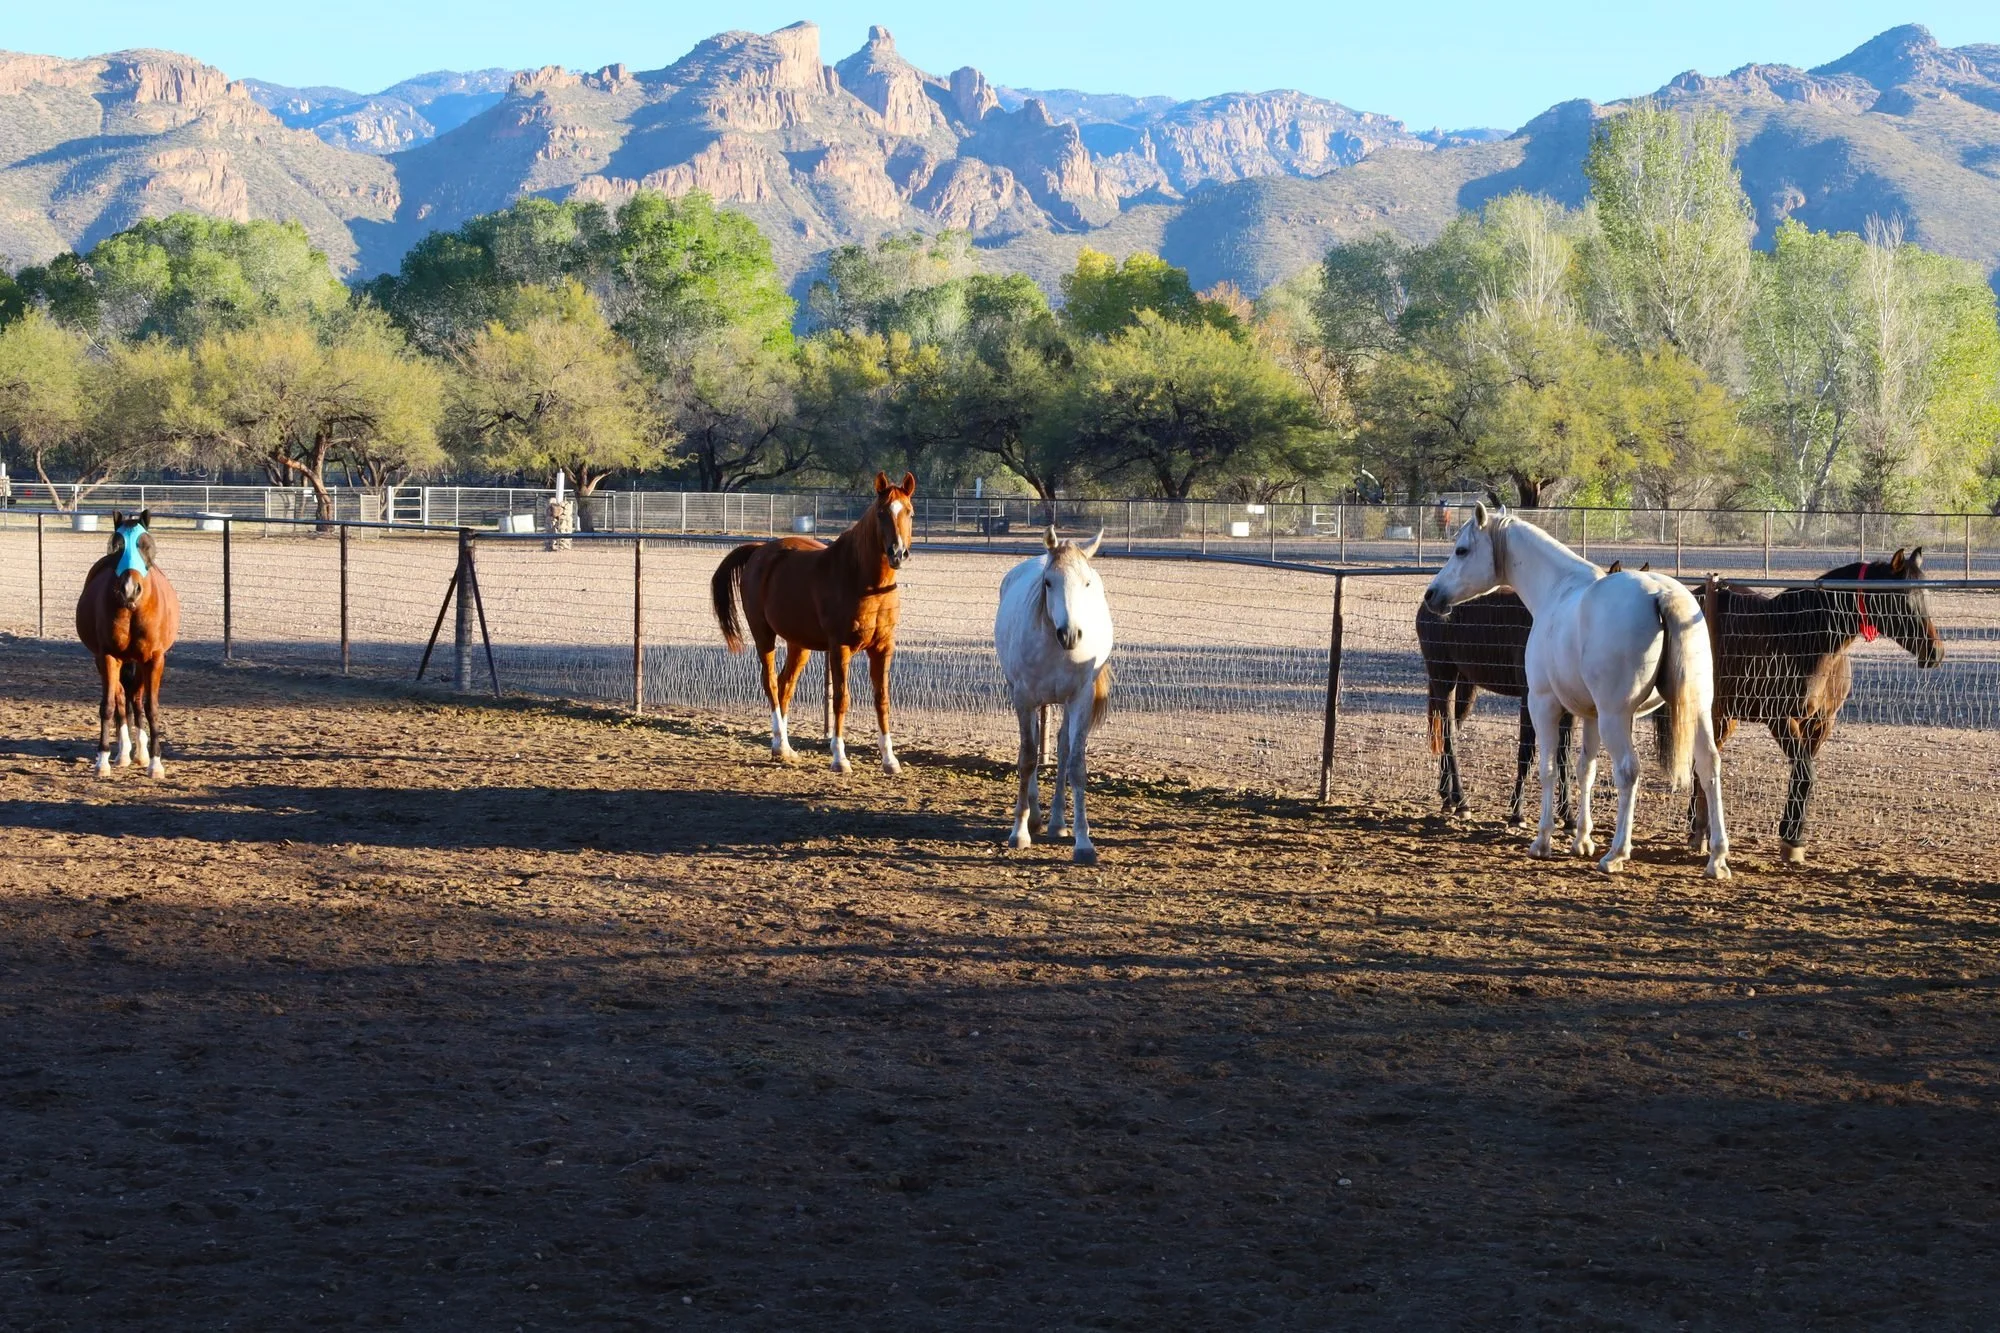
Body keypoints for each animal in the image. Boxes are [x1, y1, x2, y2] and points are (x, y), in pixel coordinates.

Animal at [75, 510, 181, 780]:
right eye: (116, 546)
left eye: (146, 545)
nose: (130, 589)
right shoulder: (107, 657)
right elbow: (109, 706)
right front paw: (102, 761)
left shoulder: (154, 659)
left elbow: (151, 708)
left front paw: (155, 764)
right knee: (123, 700)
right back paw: (124, 754)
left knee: (137, 700)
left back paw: (141, 754)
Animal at [711, 472, 915, 774]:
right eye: (881, 513)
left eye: (909, 512)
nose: (897, 553)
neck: (864, 581)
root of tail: (760, 551)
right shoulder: (840, 647)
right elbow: (841, 699)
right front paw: (840, 758)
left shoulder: (882, 648)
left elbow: (882, 700)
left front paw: (890, 760)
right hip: (763, 635)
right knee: (771, 684)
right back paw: (782, 744)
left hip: (799, 644)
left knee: (785, 685)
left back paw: (781, 748)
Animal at [994, 527, 1115, 864]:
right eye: (1048, 582)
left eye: (1087, 582)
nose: (1070, 634)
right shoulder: (1023, 698)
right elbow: (1026, 758)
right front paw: (1019, 832)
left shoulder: (1081, 700)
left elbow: (1075, 765)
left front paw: (1083, 842)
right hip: (1030, 698)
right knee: (1035, 746)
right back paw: (1035, 818)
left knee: (1061, 748)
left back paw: (1058, 823)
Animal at [1417, 592, 1574, 829]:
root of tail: (1427, 605)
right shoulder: (1528, 699)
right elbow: (1526, 754)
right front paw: (1517, 815)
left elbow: (1563, 757)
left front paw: (1569, 817)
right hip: (1443, 679)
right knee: (1449, 736)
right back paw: (1462, 803)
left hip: (1465, 686)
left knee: (1449, 732)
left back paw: (1447, 798)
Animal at [1690, 548, 1942, 865]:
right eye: (1901, 599)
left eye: (1925, 595)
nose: (1934, 652)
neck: (1805, 639)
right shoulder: (1780, 719)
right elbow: (1805, 774)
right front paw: (1791, 838)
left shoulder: (1821, 723)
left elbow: (1803, 775)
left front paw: (1793, 837)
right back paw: (1698, 833)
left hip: (1724, 717)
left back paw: (1701, 832)